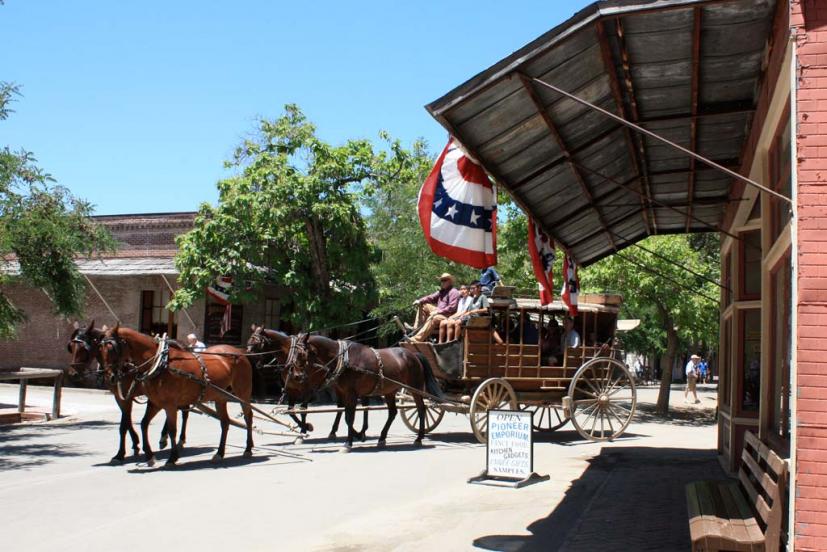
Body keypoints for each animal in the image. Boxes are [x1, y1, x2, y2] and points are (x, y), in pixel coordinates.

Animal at [66, 322, 189, 464]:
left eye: (84, 349)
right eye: (70, 347)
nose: (73, 374)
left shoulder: (127, 396)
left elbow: (124, 424)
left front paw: (122, 453)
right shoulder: (121, 397)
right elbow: (126, 422)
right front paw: (133, 445)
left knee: (184, 413)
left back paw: (178, 439)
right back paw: (164, 436)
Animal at [97, 324, 254, 466]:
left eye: (111, 348)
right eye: (100, 350)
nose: (109, 378)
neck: (161, 364)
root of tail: (238, 352)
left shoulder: (170, 404)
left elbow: (172, 429)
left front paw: (172, 457)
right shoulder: (155, 402)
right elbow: (143, 424)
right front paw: (149, 456)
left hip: (243, 392)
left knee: (248, 417)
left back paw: (248, 448)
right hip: (220, 397)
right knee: (225, 422)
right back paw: (220, 453)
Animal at [290, 332, 446, 448]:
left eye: (301, 353)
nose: (296, 376)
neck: (344, 360)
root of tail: (414, 355)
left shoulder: (351, 393)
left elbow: (349, 417)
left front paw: (348, 443)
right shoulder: (344, 392)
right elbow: (346, 415)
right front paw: (355, 436)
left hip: (415, 388)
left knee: (421, 409)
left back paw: (419, 438)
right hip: (390, 391)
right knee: (393, 412)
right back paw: (382, 438)